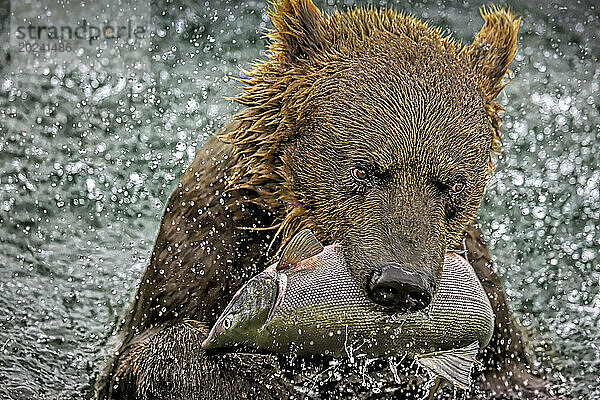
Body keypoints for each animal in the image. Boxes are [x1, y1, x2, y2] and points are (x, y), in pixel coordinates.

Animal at [97, 1, 556, 398]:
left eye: (452, 183)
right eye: (364, 169)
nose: (401, 282)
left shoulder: (483, 285)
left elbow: (512, 373)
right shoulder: (203, 240)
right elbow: (147, 344)